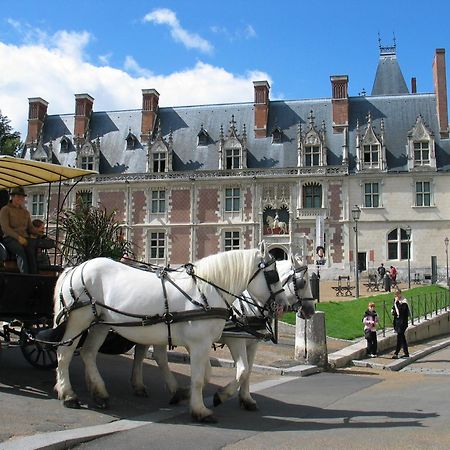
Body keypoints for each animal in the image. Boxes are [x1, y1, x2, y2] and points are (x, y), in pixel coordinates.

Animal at [54, 243, 286, 422]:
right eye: (274, 274)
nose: (283, 305)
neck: (206, 290)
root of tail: (76, 267)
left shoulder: (202, 344)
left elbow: (209, 374)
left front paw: (195, 396)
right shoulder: (200, 344)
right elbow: (201, 378)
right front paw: (201, 410)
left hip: (100, 324)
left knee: (88, 353)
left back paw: (99, 393)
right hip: (79, 321)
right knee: (64, 353)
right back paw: (68, 394)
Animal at [128, 253, 314, 412]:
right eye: (303, 283)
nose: (311, 311)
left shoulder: (252, 343)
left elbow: (248, 371)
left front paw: (246, 399)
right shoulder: (235, 340)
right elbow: (242, 370)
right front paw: (221, 395)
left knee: (144, 352)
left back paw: (141, 385)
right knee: (154, 355)